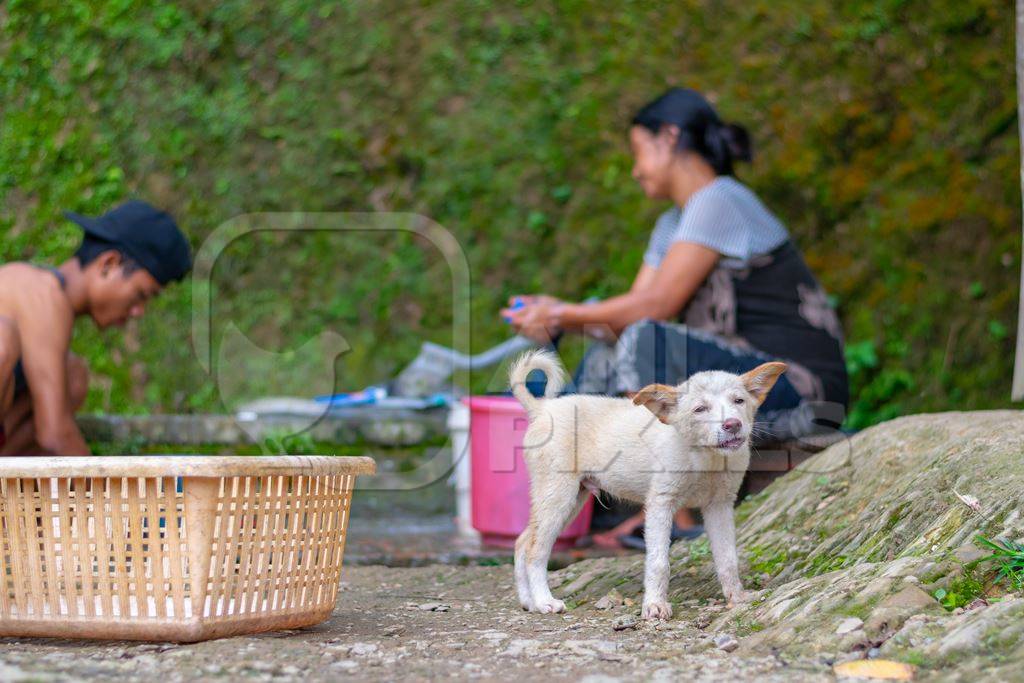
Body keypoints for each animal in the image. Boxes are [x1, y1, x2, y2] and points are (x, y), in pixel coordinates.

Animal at [509, 350, 782, 622]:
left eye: (739, 401)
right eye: (700, 409)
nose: (733, 425)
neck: (705, 458)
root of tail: (543, 408)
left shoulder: (720, 505)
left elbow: (727, 558)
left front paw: (738, 597)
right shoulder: (661, 503)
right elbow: (658, 562)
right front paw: (655, 605)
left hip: (573, 498)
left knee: (522, 542)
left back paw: (528, 601)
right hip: (558, 495)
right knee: (535, 550)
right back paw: (544, 601)